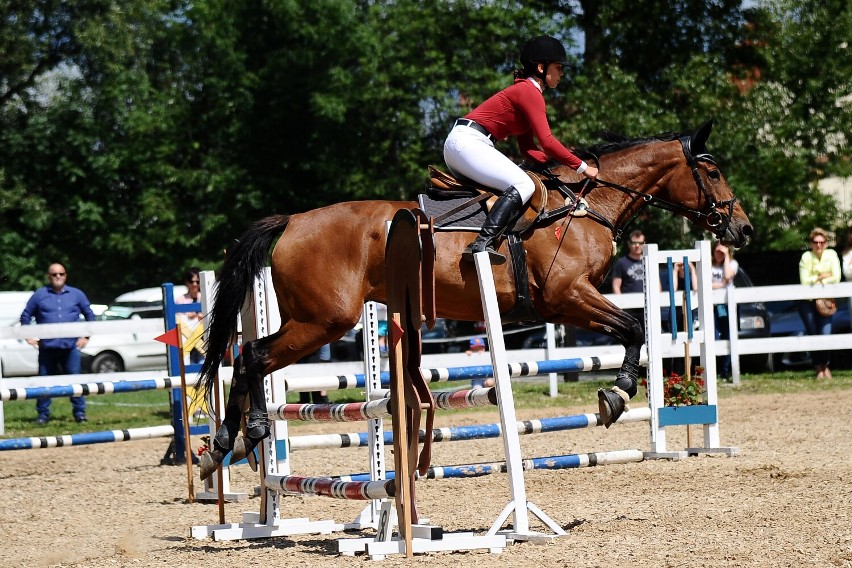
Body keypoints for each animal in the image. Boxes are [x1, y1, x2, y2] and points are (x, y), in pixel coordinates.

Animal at [198, 121, 752, 480]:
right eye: (714, 172)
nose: (742, 229)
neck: (586, 204)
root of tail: (291, 221)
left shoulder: (568, 303)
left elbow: (631, 330)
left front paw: (617, 393)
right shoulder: (568, 296)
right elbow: (633, 327)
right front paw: (616, 395)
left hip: (310, 320)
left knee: (250, 357)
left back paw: (235, 440)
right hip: (323, 321)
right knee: (253, 355)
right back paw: (237, 436)